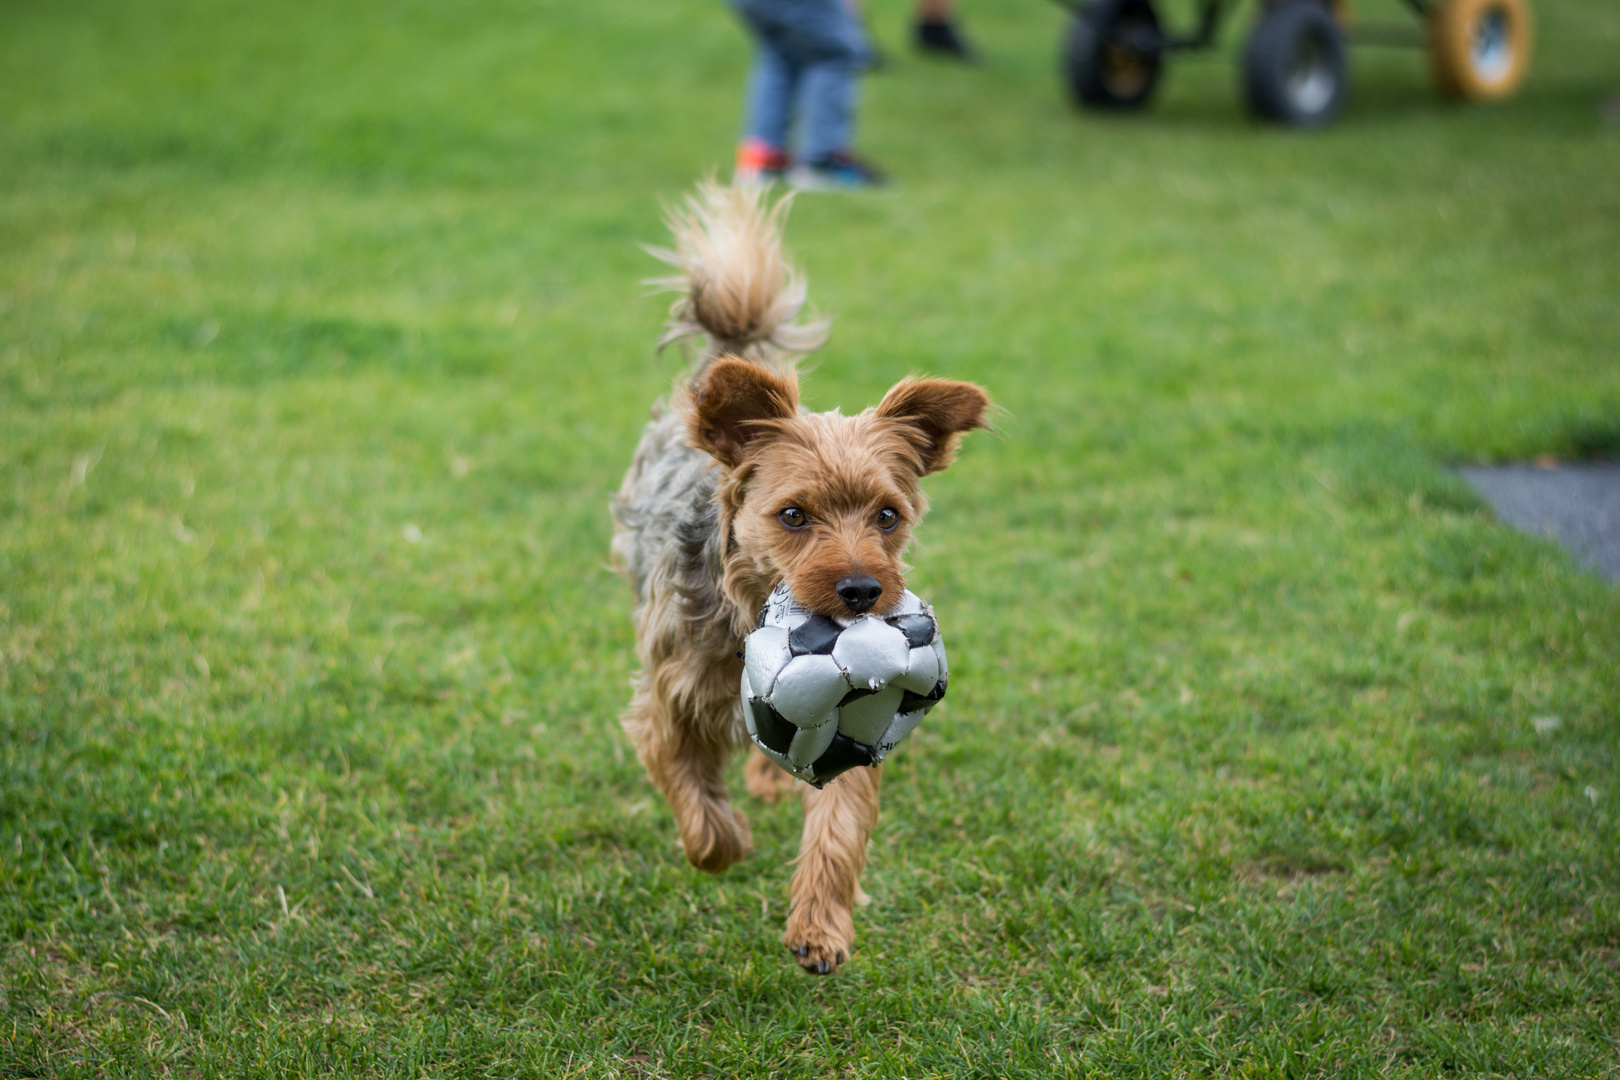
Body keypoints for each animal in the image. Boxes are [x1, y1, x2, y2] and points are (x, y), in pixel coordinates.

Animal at [609, 181, 984, 977]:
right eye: (792, 515)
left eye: (887, 515)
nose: (863, 591)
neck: (754, 612)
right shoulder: (667, 695)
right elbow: (691, 793)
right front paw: (727, 843)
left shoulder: (859, 727)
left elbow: (838, 823)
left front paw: (820, 926)